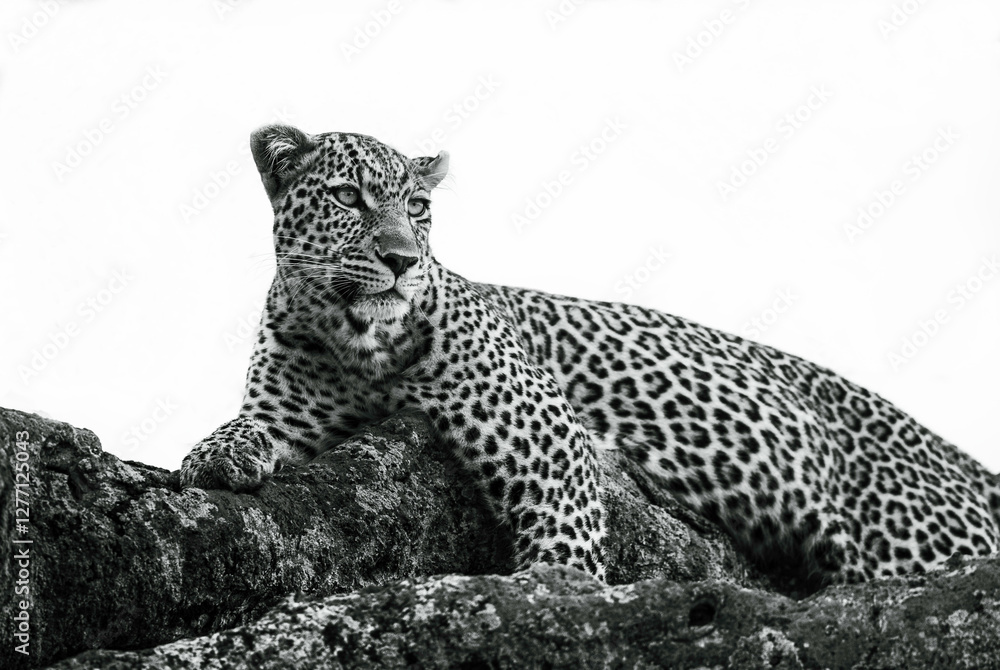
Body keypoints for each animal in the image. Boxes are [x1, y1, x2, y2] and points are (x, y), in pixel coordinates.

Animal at [181, 123, 1000, 589]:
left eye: (418, 209)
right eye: (349, 198)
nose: (403, 260)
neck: (358, 345)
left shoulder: (544, 423)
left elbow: (564, 524)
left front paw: (556, 589)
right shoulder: (292, 411)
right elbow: (245, 427)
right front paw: (211, 457)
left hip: (907, 537)